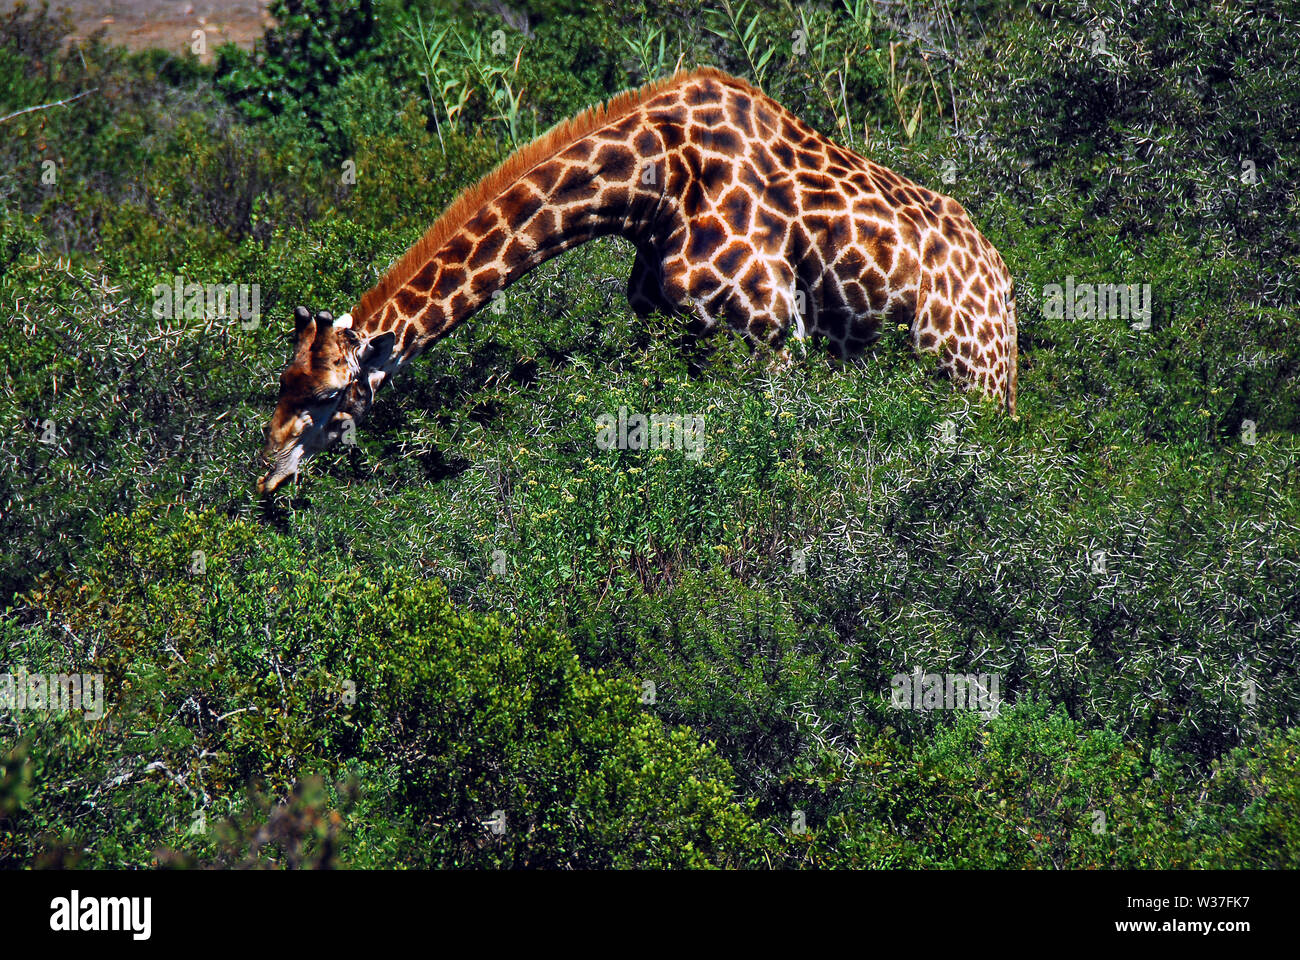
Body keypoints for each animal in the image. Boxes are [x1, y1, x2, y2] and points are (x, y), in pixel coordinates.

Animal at [258, 65, 1019, 494]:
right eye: (282, 382)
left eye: (330, 396)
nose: (266, 480)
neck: (651, 187)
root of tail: (1006, 296)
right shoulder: (671, 334)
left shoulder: (773, 335)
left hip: (968, 380)